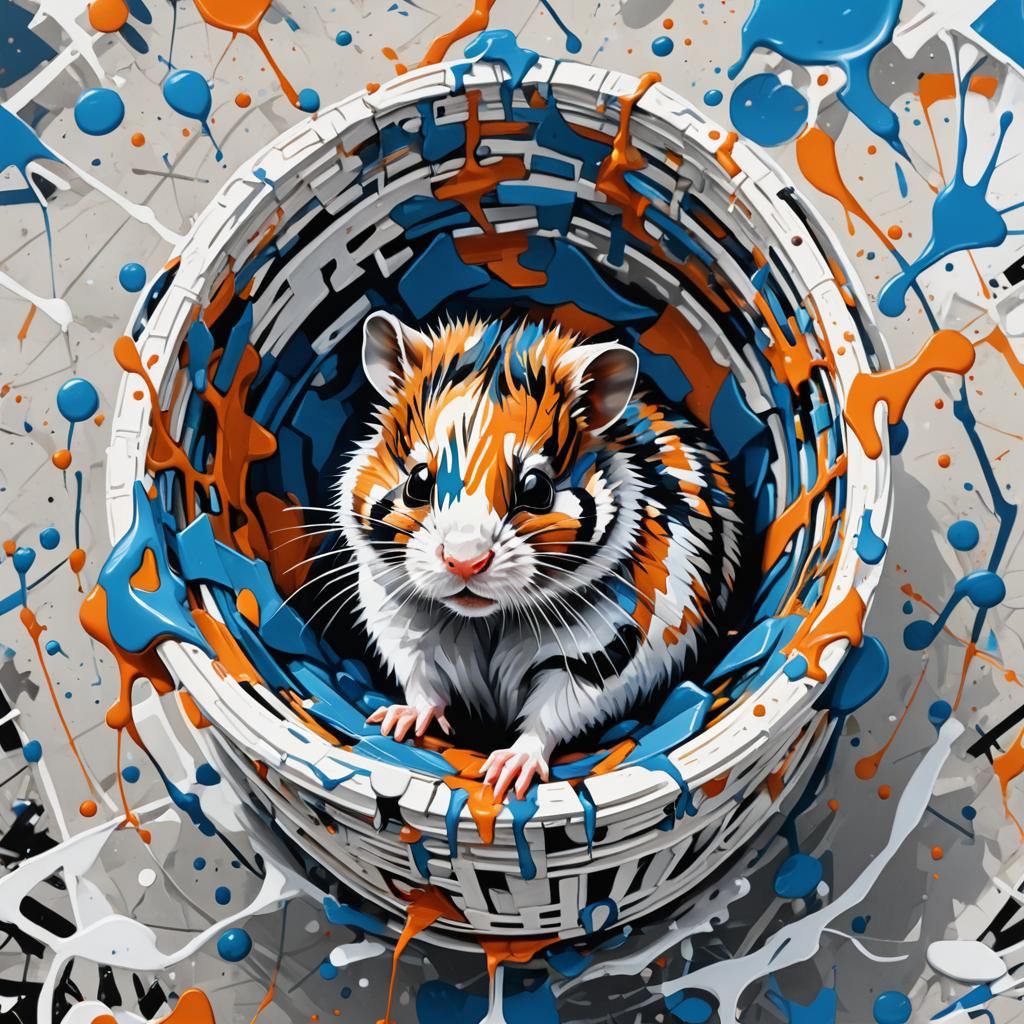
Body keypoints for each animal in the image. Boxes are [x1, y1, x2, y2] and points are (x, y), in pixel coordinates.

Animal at [335, 311, 742, 801]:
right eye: (417, 481)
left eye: (536, 489)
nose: (465, 563)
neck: (486, 620)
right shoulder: (399, 621)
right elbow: (422, 681)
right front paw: (395, 724)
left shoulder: (600, 651)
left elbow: (551, 713)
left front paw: (505, 775)